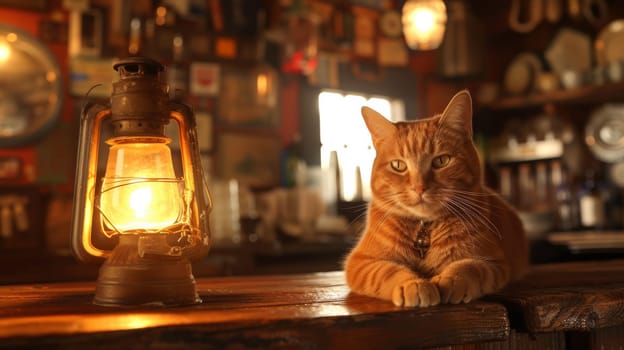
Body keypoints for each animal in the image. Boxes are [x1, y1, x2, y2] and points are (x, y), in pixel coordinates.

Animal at [344, 89, 528, 306]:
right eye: (398, 165)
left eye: (441, 161)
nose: (419, 187)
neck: (425, 230)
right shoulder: (360, 263)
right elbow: (387, 271)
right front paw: (413, 284)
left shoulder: (495, 262)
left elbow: (469, 267)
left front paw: (450, 280)